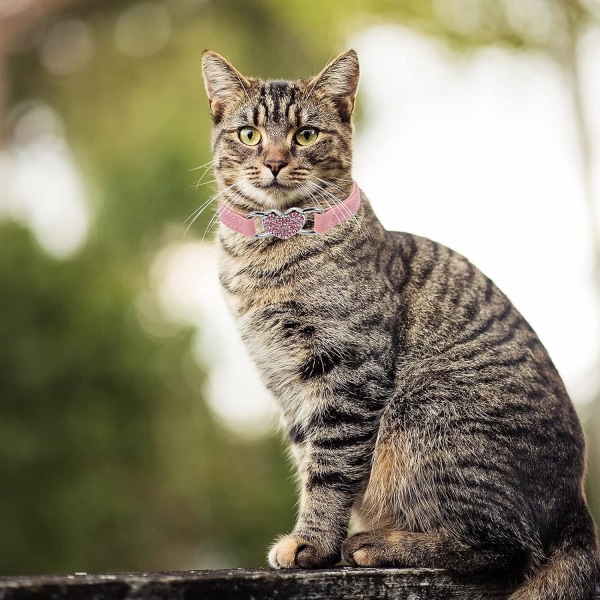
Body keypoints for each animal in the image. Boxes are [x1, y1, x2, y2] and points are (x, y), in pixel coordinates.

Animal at [203, 49, 600, 596]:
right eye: (249, 134)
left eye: (305, 135)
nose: (276, 161)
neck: (266, 255)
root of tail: (575, 507)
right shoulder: (286, 384)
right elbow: (310, 461)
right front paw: (320, 540)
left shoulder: (347, 371)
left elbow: (330, 469)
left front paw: (313, 543)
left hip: (424, 417)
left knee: (505, 549)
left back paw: (379, 544)